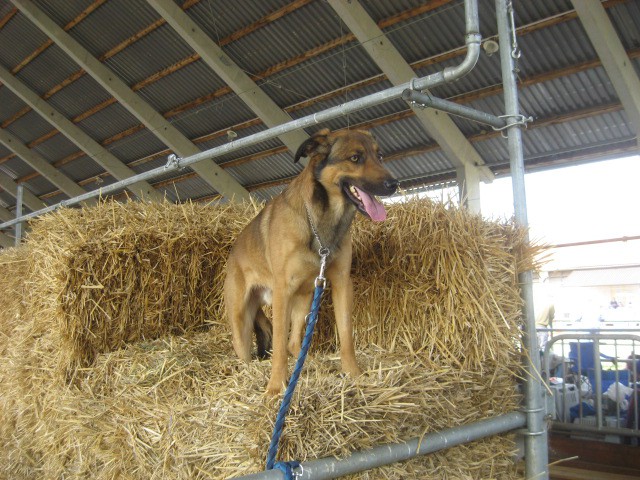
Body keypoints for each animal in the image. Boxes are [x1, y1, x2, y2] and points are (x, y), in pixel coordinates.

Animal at [224, 127, 396, 394]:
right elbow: (278, 348)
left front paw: (353, 373)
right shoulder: (282, 291)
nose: (394, 184)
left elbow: (346, 335)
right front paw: (276, 387)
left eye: (379, 156)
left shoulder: (341, 284)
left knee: (295, 344)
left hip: (304, 299)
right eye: (355, 158)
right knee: (247, 351)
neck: (322, 218)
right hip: (240, 317)